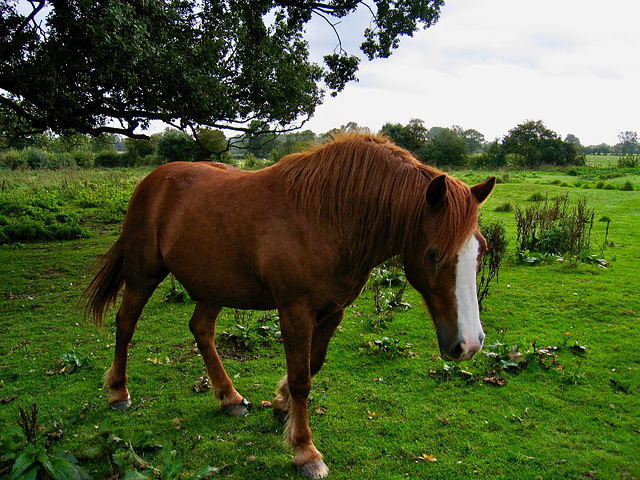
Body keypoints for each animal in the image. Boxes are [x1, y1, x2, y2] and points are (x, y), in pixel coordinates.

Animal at [84, 132, 496, 480]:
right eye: (434, 254)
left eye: (482, 250)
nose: (469, 344)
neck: (328, 216)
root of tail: (153, 180)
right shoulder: (295, 311)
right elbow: (301, 379)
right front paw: (305, 451)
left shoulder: (333, 310)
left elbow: (312, 365)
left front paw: (281, 406)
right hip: (143, 273)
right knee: (126, 323)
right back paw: (119, 392)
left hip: (214, 285)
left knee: (201, 330)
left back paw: (229, 397)